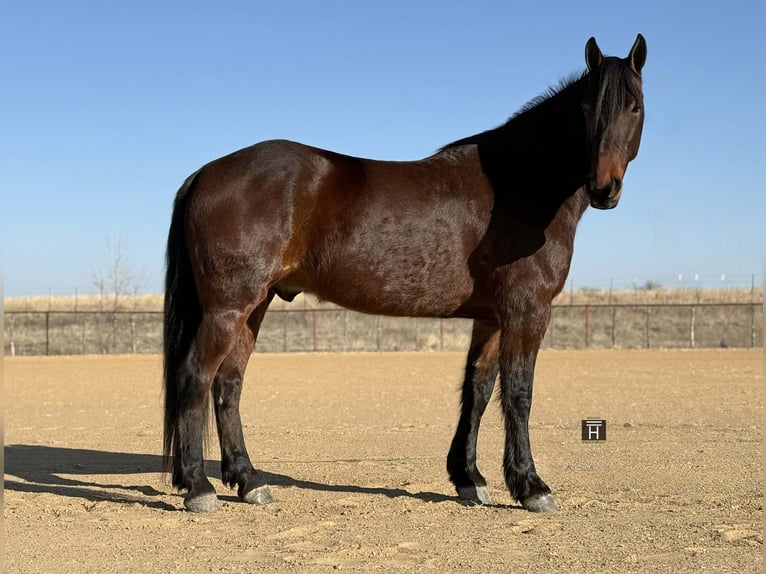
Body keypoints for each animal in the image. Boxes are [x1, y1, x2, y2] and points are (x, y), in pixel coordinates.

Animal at [163, 34, 647, 513]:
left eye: (635, 106)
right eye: (585, 108)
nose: (604, 188)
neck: (519, 186)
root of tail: (204, 173)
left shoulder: (491, 318)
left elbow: (478, 390)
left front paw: (469, 479)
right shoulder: (527, 312)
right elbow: (518, 394)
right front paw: (531, 487)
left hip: (254, 305)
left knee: (228, 384)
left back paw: (248, 480)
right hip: (228, 308)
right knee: (195, 376)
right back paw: (199, 487)